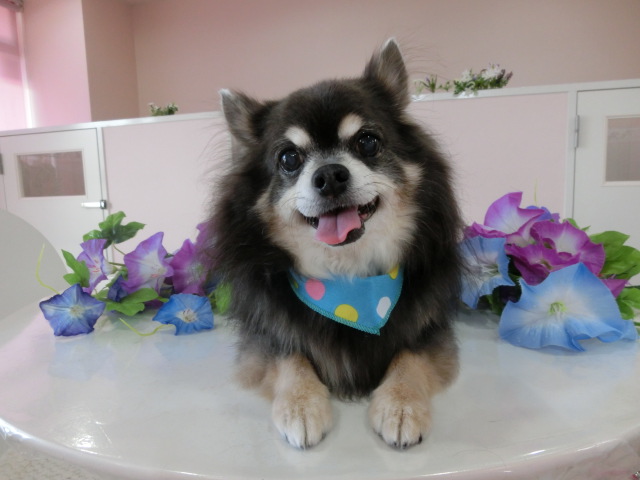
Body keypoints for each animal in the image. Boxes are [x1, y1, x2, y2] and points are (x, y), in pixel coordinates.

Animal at [205, 39, 462, 450]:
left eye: (367, 142)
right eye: (289, 158)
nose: (328, 175)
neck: (348, 282)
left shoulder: (430, 331)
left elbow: (409, 356)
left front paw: (401, 405)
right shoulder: (264, 340)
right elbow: (290, 356)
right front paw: (300, 405)